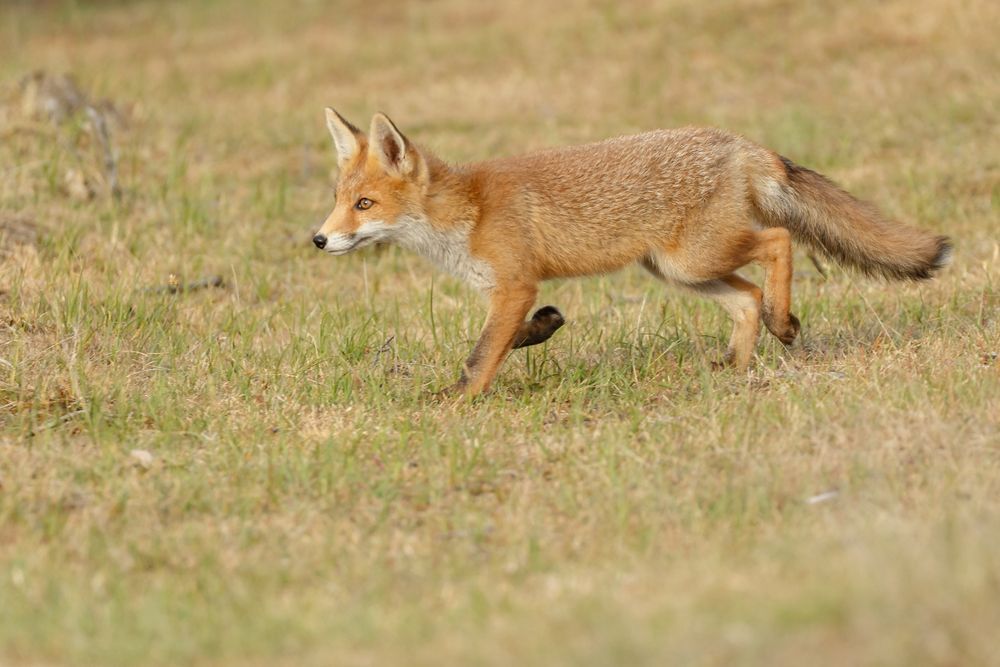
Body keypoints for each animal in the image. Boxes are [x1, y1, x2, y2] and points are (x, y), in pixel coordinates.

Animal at [313, 108, 951, 396]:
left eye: (365, 205)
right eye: (339, 200)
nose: (319, 239)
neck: (464, 215)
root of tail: (737, 142)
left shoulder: (516, 283)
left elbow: (479, 355)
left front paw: (456, 402)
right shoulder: (507, 293)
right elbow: (508, 338)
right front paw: (542, 329)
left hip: (694, 258)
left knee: (778, 242)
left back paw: (784, 322)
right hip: (678, 269)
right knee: (746, 296)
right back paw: (737, 368)